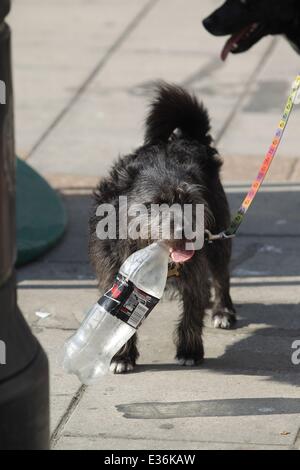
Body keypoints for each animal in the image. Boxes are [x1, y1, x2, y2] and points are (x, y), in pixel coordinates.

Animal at [88, 82, 236, 372]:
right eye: (155, 203)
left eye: (190, 201)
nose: (186, 233)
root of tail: (187, 139)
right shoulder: (114, 275)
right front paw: (122, 356)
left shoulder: (194, 271)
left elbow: (192, 310)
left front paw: (190, 350)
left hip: (220, 237)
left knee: (221, 275)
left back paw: (222, 310)